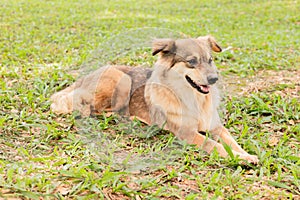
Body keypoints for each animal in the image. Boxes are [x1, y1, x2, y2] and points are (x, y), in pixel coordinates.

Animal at [50, 36, 258, 164]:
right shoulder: (187, 134)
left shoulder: (216, 127)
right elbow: (215, 145)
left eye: (210, 60)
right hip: (122, 79)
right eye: (191, 62)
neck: (195, 99)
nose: (214, 79)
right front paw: (240, 158)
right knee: (91, 108)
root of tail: (86, 76)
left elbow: (232, 141)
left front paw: (245, 154)